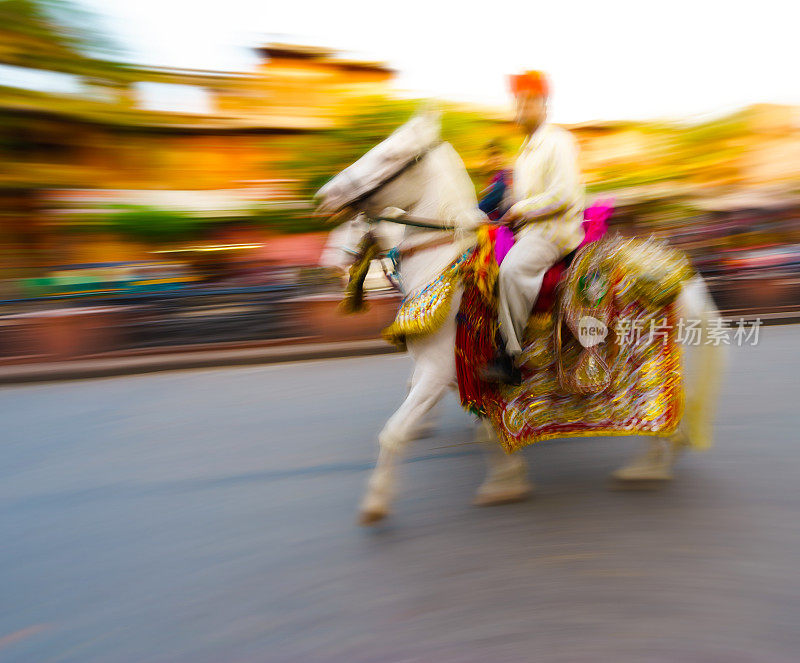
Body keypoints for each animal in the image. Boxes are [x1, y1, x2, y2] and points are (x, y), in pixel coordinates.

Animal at [316, 111, 728, 528]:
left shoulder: (438, 369)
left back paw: (648, 468)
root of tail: (684, 278)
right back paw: (652, 465)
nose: (326, 196)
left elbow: (395, 432)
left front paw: (375, 503)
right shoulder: (463, 374)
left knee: (669, 412)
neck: (443, 264)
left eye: (391, 155)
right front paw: (506, 482)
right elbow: (485, 430)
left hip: (652, 361)